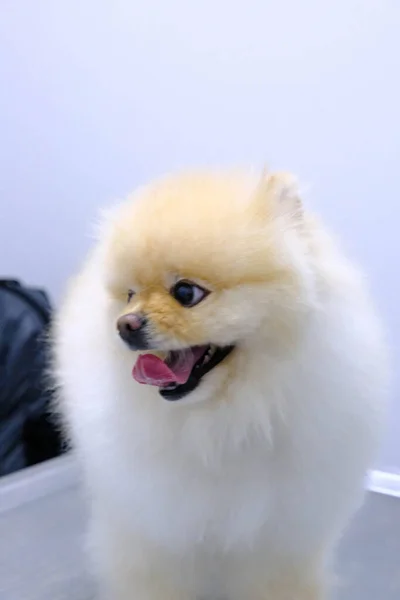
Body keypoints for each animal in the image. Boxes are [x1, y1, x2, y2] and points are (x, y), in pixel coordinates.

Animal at [53, 170, 388, 600]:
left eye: (185, 292)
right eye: (128, 295)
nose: (124, 324)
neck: (224, 422)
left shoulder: (279, 536)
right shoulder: (157, 531)